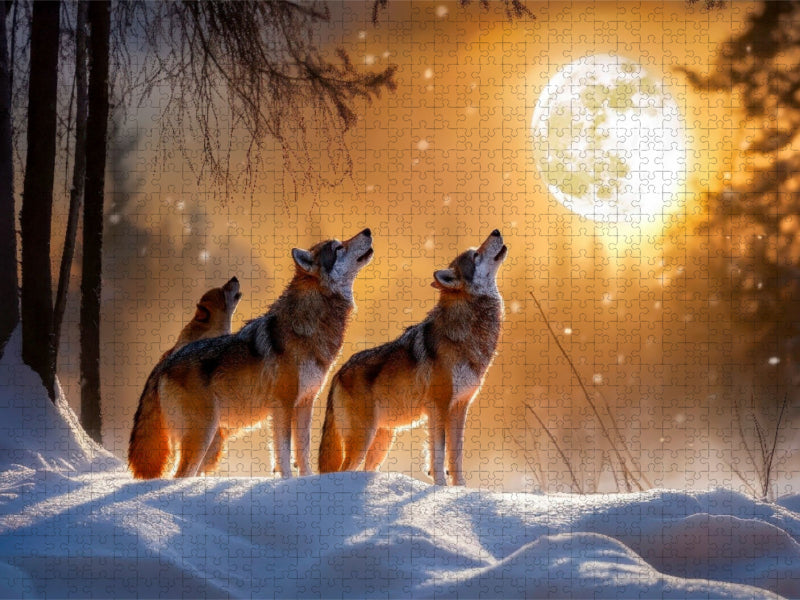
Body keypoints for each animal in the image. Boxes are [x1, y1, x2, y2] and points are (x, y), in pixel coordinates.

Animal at [318, 230, 506, 486]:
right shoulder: (438, 407)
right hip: (363, 439)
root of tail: (337, 374)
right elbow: (438, 456)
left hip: (382, 441)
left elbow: (455, 458)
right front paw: (440, 487)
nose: (496, 231)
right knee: (344, 470)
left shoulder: (460, 408)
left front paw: (460, 489)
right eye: (476, 255)